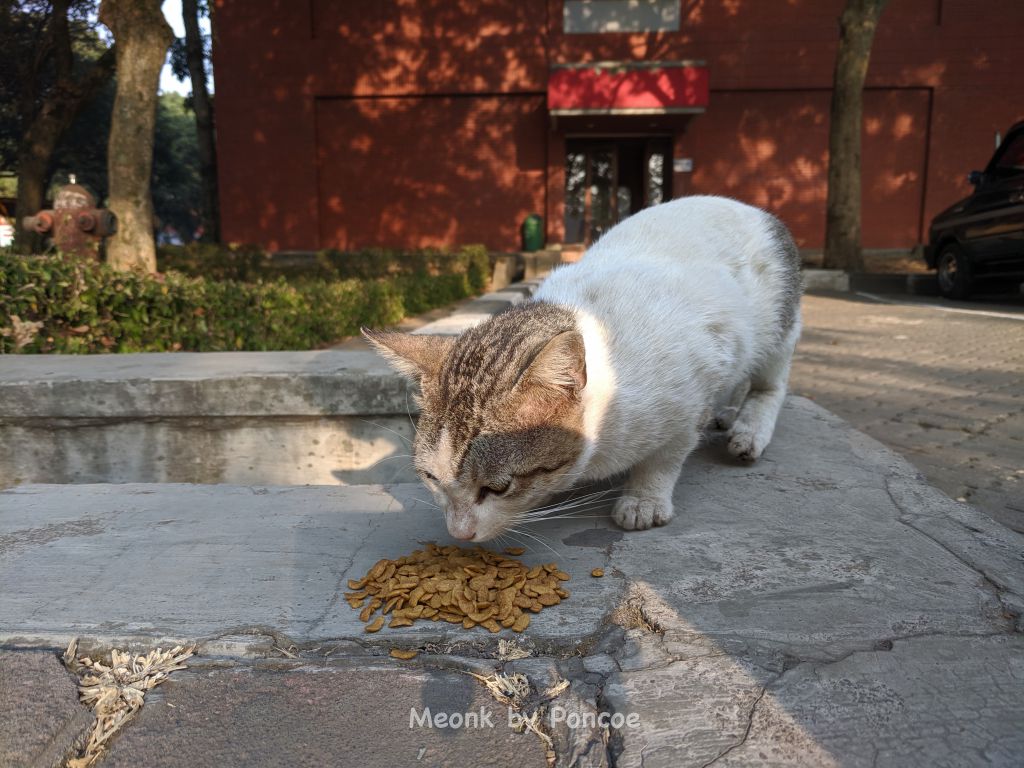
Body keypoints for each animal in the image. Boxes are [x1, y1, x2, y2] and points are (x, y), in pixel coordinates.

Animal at [364, 195, 802, 542]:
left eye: (499, 487)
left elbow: (668, 453)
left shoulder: (696, 382)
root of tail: (752, 208)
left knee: (771, 384)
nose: (459, 533)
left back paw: (749, 427)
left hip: (776, 330)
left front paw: (644, 497)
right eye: (431, 479)